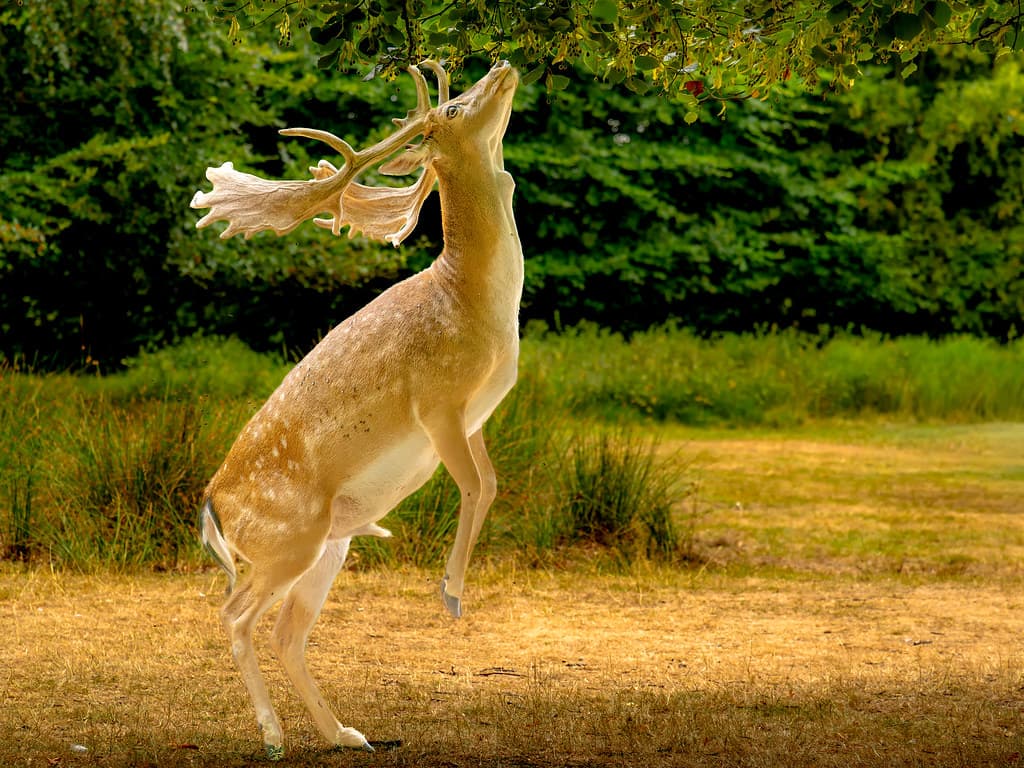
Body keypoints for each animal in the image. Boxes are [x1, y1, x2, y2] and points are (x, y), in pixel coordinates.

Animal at [189, 60, 522, 760]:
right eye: (453, 110)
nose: (503, 65)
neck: (478, 306)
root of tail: (211, 507)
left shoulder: (476, 416)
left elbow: (491, 483)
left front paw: (453, 592)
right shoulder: (437, 402)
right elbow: (476, 486)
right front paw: (451, 594)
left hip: (327, 547)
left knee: (287, 632)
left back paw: (345, 733)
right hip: (287, 543)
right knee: (234, 615)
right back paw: (273, 735)